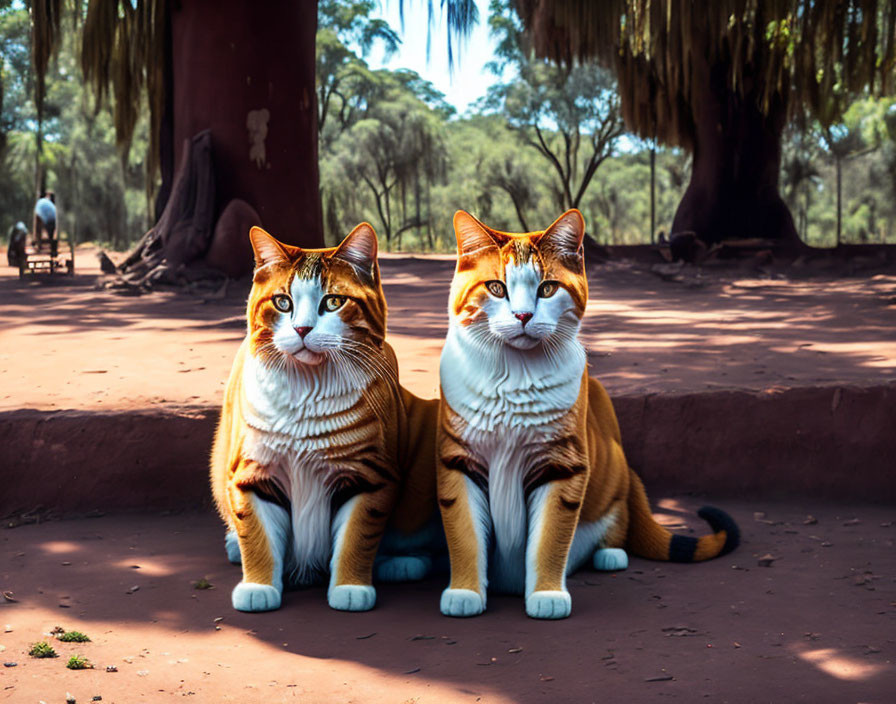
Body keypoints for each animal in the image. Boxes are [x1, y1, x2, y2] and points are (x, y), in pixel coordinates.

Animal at [207, 224, 438, 612]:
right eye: (282, 302)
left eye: (332, 302)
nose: (302, 329)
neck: (307, 387)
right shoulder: (253, 471)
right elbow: (257, 534)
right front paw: (257, 587)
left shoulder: (367, 475)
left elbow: (356, 536)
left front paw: (350, 589)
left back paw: (400, 563)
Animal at [434, 212, 736, 620]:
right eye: (496, 288)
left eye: (547, 289)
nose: (523, 315)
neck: (514, 372)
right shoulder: (459, 460)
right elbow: (464, 533)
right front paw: (464, 592)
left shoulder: (562, 464)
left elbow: (549, 538)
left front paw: (547, 595)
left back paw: (611, 554)